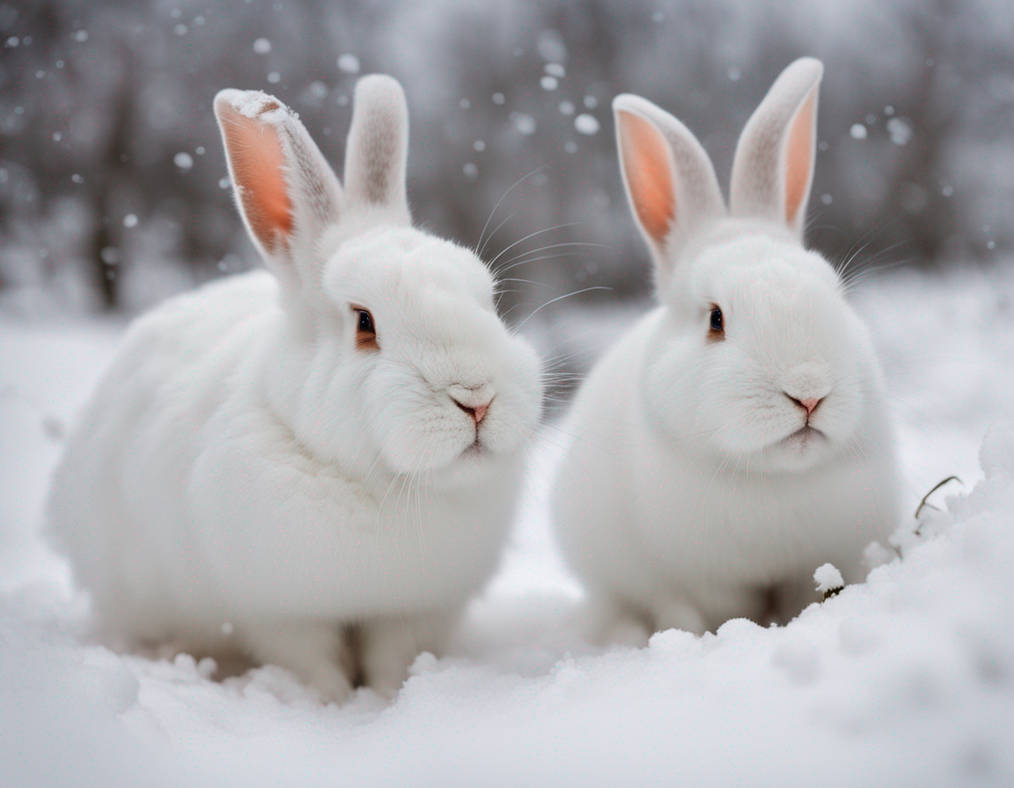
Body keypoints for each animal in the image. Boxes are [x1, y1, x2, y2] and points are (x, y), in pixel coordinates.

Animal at [46, 74, 543, 701]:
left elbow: (394, 658)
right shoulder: (280, 615)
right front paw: (330, 702)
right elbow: (311, 662)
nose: (476, 398)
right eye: (364, 323)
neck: (383, 485)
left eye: (490, 300)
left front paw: (391, 696)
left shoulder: (412, 612)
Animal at [551, 58, 901, 644]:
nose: (808, 393)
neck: (772, 480)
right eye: (716, 319)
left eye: (835, 293)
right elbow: (695, 612)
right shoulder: (692, 581)